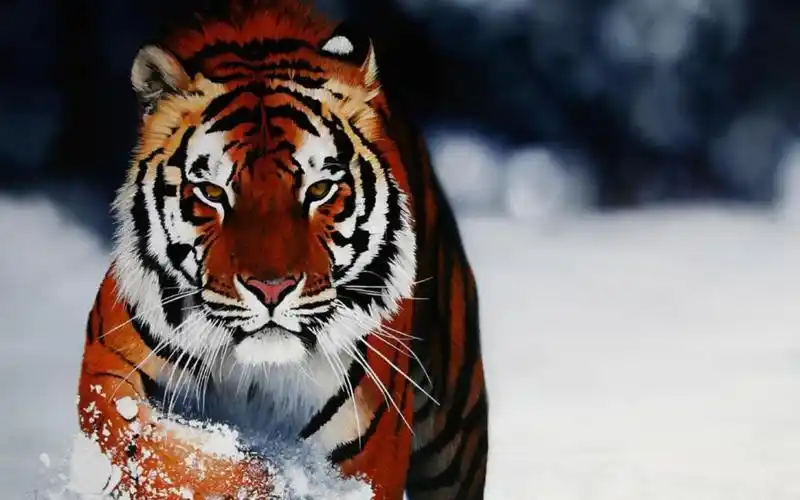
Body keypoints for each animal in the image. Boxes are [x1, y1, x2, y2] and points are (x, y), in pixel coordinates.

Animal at [76, 0, 489, 498]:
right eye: (212, 192)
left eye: (320, 189)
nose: (271, 289)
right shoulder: (107, 376)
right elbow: (176, 453)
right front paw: (264, 477)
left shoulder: (368, 451)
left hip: (455, 432)